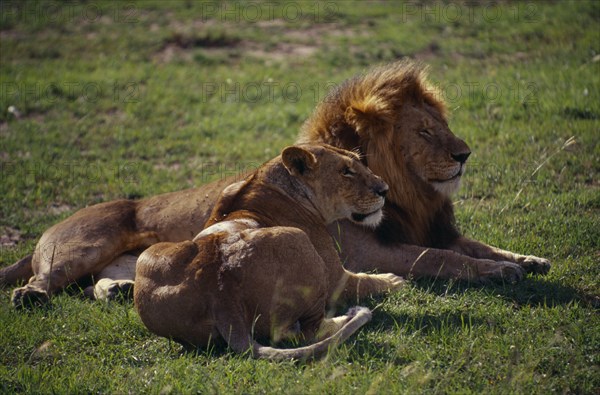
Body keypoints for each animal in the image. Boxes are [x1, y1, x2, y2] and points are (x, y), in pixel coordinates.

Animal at [2, 58, 552, 310]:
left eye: (443, 125)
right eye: (424, 132)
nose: (465, 154)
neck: (410, 196)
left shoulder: (433, 227)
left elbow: (477, 245)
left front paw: (527, 259)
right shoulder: (373, 251)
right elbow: (441, 259)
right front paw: (500, 274)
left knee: (104, 282)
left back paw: (118, 289)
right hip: (80, 248)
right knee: (45, 279)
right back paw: (30, 295)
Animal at [134, 145, 406, 362]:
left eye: (359, 163)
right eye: (345, 171)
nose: (384, 190)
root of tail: (218, 290)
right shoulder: (336, 276)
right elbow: (364, 281)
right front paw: (394, 281)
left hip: (148, 256)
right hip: (299, 239)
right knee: (309, 331)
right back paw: (350, 316)